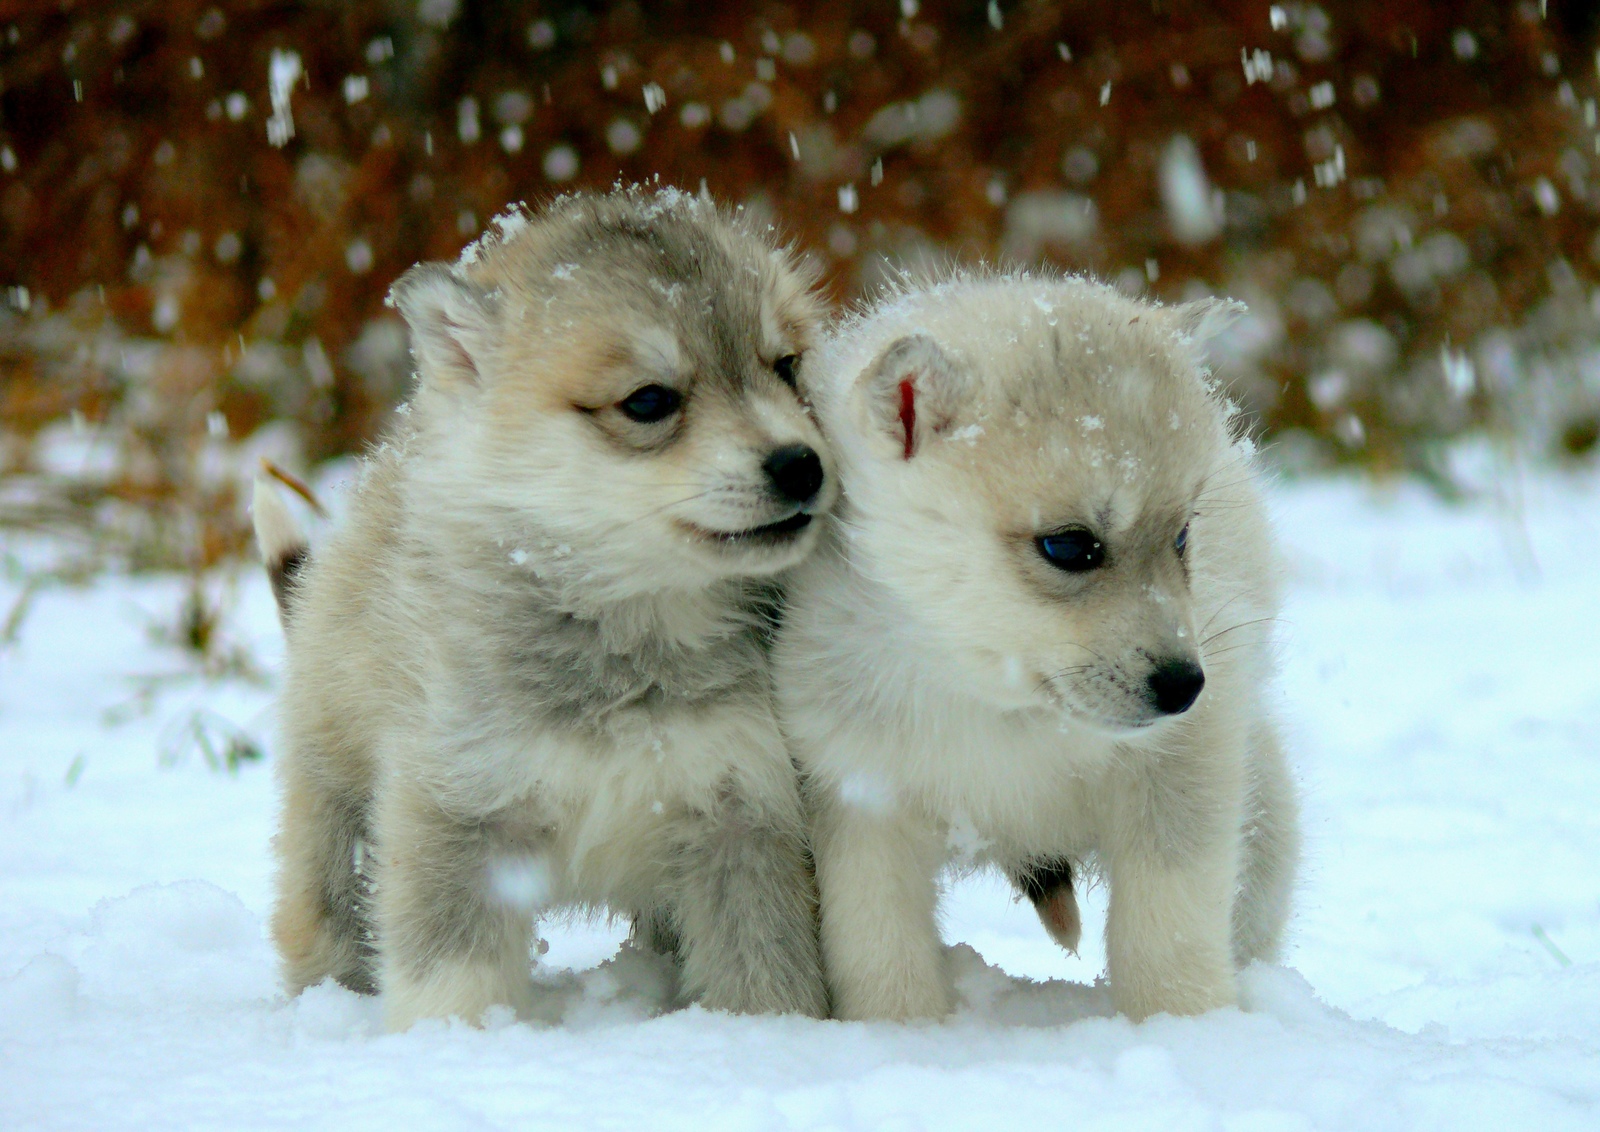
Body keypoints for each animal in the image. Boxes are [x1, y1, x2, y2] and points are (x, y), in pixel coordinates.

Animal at [249, 190, 838, 1029]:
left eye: (786, 366)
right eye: (650, 401)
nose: (802, 466)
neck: (630, 624)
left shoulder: (744, 812)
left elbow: (762, 978)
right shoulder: (457, 806)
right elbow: (449, 977)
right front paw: (452, 1041)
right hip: (332, 808)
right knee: (318, 915)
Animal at [774, 273, 1299, 1023]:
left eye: (1182, 536)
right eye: (1070, 546)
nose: (1185, 686)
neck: (995, 699)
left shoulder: (1181, 773)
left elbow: (1168, 930)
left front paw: (1185, 1026)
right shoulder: (858, 795)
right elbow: (879, 947)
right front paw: (900, 1032)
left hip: (1268, 821)